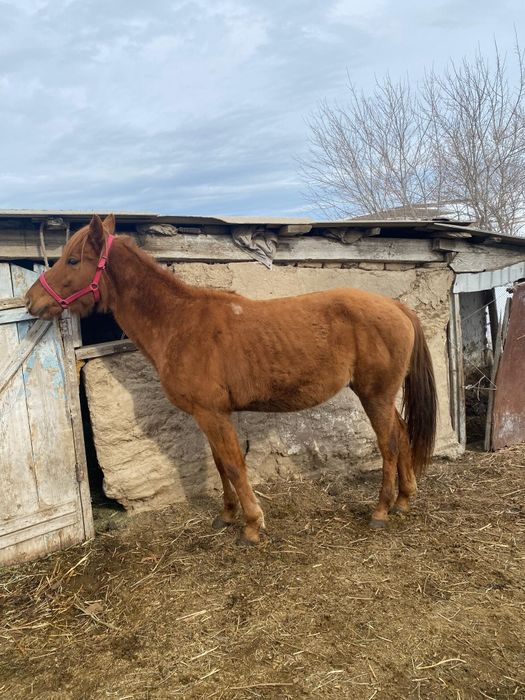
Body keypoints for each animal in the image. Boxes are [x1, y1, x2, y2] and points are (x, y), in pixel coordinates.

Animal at [26, 214, 437, 545]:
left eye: (73, 259)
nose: (31, 301)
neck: (179, 323)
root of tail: (396, 306)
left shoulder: (213, 414)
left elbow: (235, 465)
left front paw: (252, 525)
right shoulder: (208, 415)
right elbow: (221, 464)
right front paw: (226, 515)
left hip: (374, 396)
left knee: (389, 445)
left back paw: (381, 510)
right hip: (381, 396)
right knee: (402, 434)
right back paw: (404, 500)